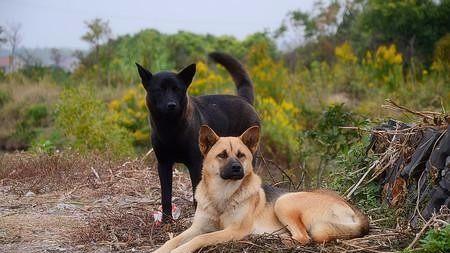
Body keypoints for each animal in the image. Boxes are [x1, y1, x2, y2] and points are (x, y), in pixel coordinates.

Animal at [135, 52, 258, 219]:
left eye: (177, 89)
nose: (171, 105)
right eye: (159, 90)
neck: (171, 130)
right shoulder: (163, 164)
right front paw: (166, 219)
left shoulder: (195, 164)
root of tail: (244, 100)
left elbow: (195, 195)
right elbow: (165, 195)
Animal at [155, 125, 370, 252]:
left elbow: (200, 239)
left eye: (241, 155)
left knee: (304, 238)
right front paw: (162, 249)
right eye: (222, 155)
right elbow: (172, 240)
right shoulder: (197, 227)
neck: (222, 195)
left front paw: (181, 250)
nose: (237, 168)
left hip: (284, 202)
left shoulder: (232, 230)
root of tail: (354, 210)